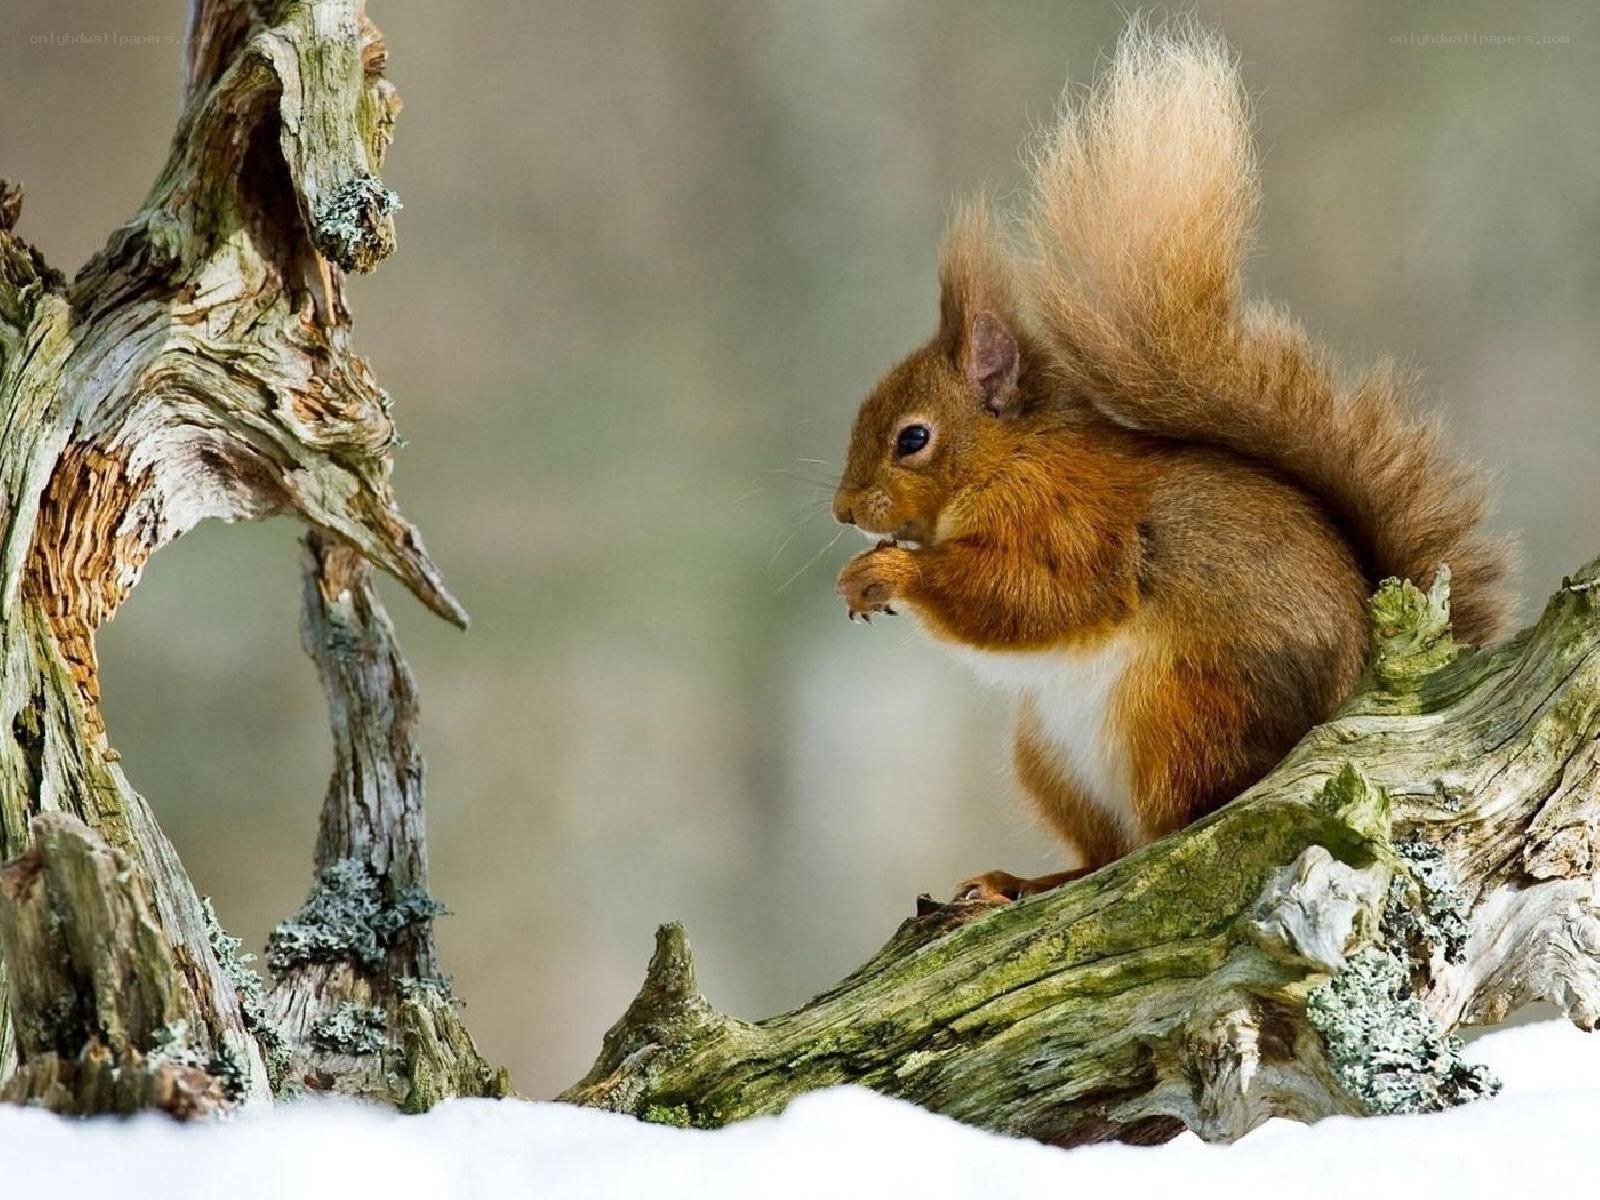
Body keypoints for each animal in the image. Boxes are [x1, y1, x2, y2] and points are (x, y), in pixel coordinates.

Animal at [831, 19, 1514, 904]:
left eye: (912, 438)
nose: (845, 511)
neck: (1011, 457)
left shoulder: (1074, 520)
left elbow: (1031, 596)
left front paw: (888, 573)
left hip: (1178, 711)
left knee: (1166, 831)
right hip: (1050, 755)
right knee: (1107, 851)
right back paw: (1022, 883)